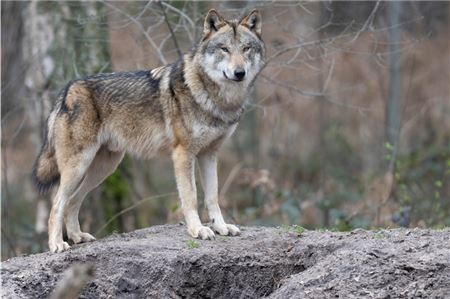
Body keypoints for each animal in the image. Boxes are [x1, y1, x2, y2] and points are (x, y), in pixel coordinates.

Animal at [34, 8, 264, 253]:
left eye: (246, 48)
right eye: (224, 49)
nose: (239, 72)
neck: (217, 98)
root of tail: (67, 90)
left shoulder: (209, 155)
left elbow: (212, 197)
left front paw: (221, 227)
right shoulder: (183, 154)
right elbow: (191, 197)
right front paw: (198, 230)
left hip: (103, 169)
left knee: (73, 201)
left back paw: (78, 236)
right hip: (79, 166)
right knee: (57, 203)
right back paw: (57, 244)